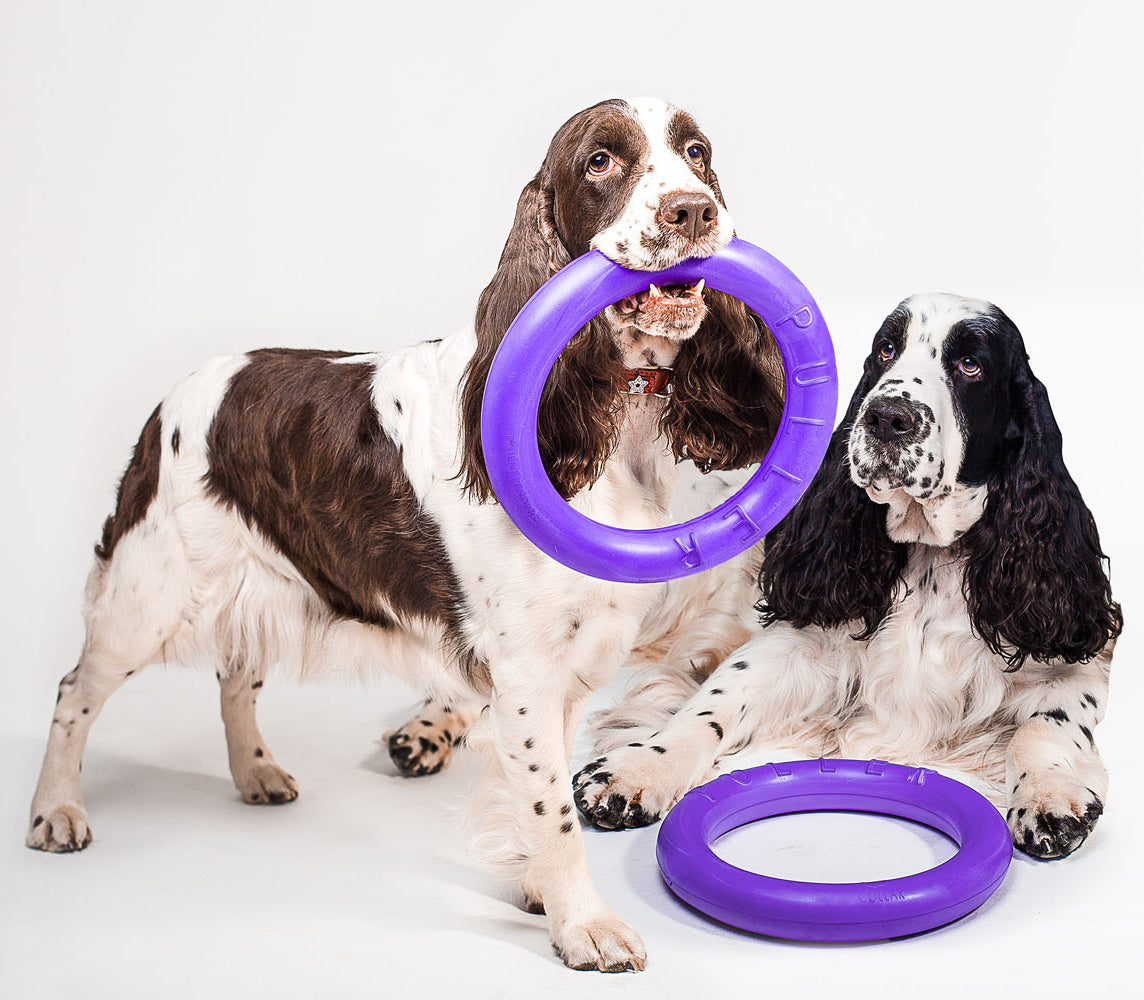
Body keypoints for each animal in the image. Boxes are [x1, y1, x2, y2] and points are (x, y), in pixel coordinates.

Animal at [25, 97, 784, 972]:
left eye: (697, 152)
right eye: (600, 161)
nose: (692, 210)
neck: (612, 423)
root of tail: (175, 397)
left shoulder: (567, 665)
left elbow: (544, 793)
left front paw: (541, 896)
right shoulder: (526, 670)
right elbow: (554, 813)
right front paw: (585, 924)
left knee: (235, 676)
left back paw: (255, 775)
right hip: (148, 595)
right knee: (74, 691)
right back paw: (55, 813)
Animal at [575, 293, 1122, 860]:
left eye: (971, 365)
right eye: (886, 349)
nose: (886, 417)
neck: (929, 553)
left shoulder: (1072, 662)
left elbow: (1043, 728)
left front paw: (1049, 796)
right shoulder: (795, 640)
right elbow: (711, 706)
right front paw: (638, 767)